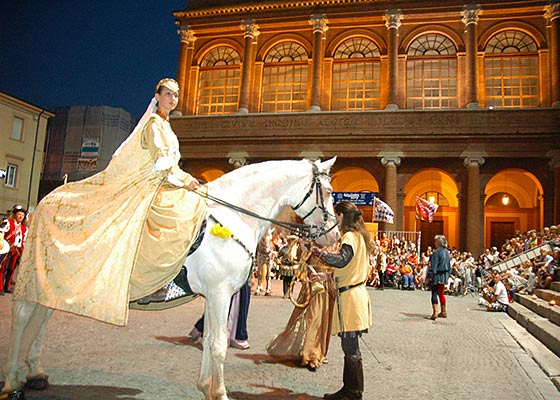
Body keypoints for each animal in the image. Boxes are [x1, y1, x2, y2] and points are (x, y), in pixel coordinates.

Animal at [0, 159, 336, 400]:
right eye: (329, 192)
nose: (332, 235)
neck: (234, 217)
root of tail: (49, 198)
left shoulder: (216, 295)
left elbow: (210, 340)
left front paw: (205, 388)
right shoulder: (220, 292)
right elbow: (218, 344)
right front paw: (220, 393)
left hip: (58, 281)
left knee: (42, 319)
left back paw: (36, 373)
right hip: (36, 276)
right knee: (22, 318)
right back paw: (12, 381)